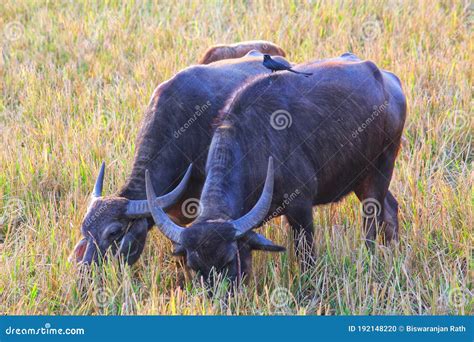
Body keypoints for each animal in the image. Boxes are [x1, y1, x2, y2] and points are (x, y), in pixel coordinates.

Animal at [147, 53, 408, 282]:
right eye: (194, 266)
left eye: (228, 260)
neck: (255, 144)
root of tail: (388, 80)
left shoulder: (301, 207)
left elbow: (306, 256)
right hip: (362, 176)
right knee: (390, 208)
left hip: (383, 166)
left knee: (371, 219)